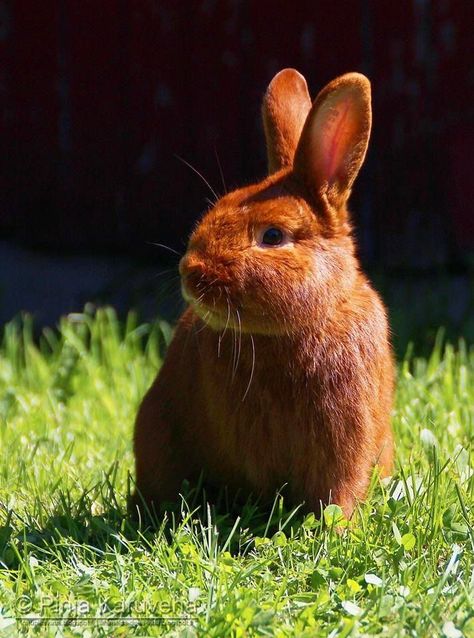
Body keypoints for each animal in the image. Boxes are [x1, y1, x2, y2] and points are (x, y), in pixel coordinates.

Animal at [131, 69, 394, 520]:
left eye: (273, 236)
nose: (190, 272)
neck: (298, 329)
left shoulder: (346, 445)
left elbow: (339, 491)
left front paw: (335, 526)